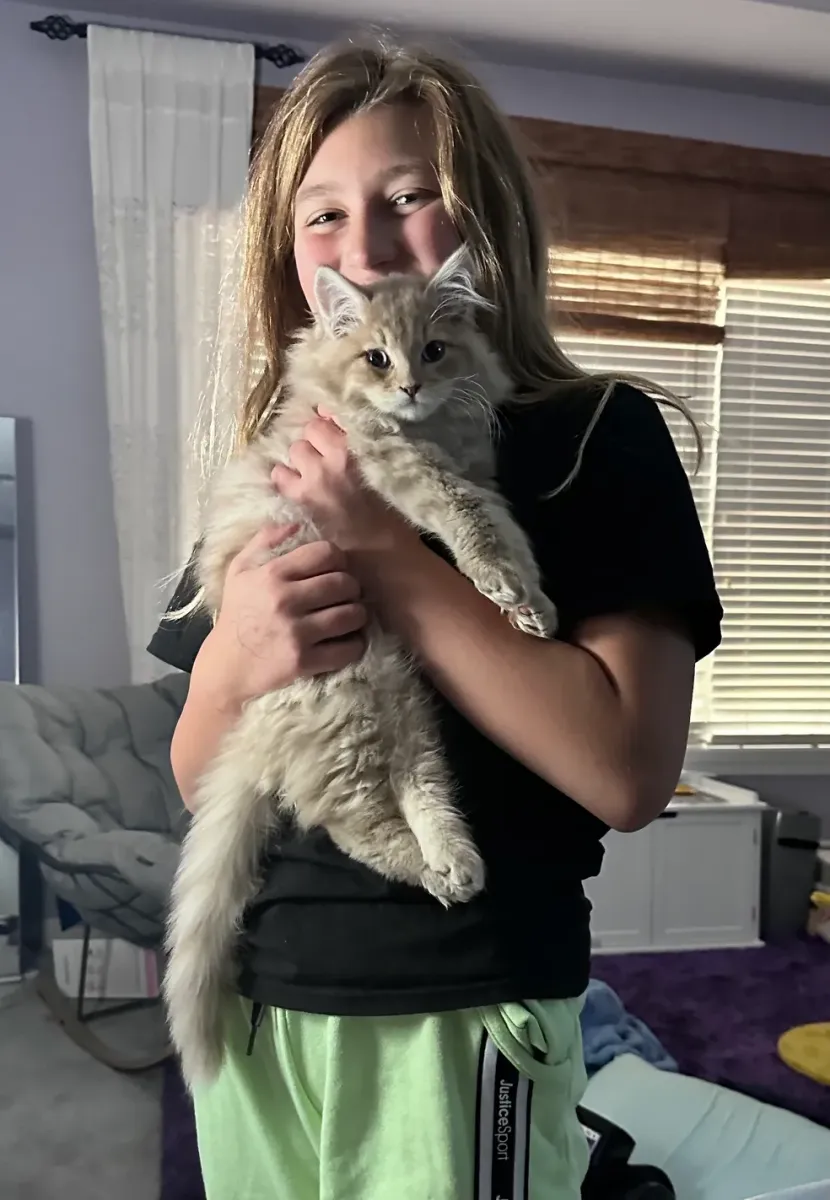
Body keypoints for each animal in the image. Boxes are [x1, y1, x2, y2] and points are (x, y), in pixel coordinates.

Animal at [164, 246, 559, 1088]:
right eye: (376, 358)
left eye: (434, 351)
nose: (408, 386)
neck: (431, 428)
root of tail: (251, 737)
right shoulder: (405, 468)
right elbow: (473, 527)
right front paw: (511, 592)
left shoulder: (474, 474)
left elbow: (505, 533)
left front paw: (531, 608)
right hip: (347, 712)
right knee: (361, 828)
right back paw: (440, 872)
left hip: (404, 711)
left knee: (422, 798)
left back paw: (456, 865)